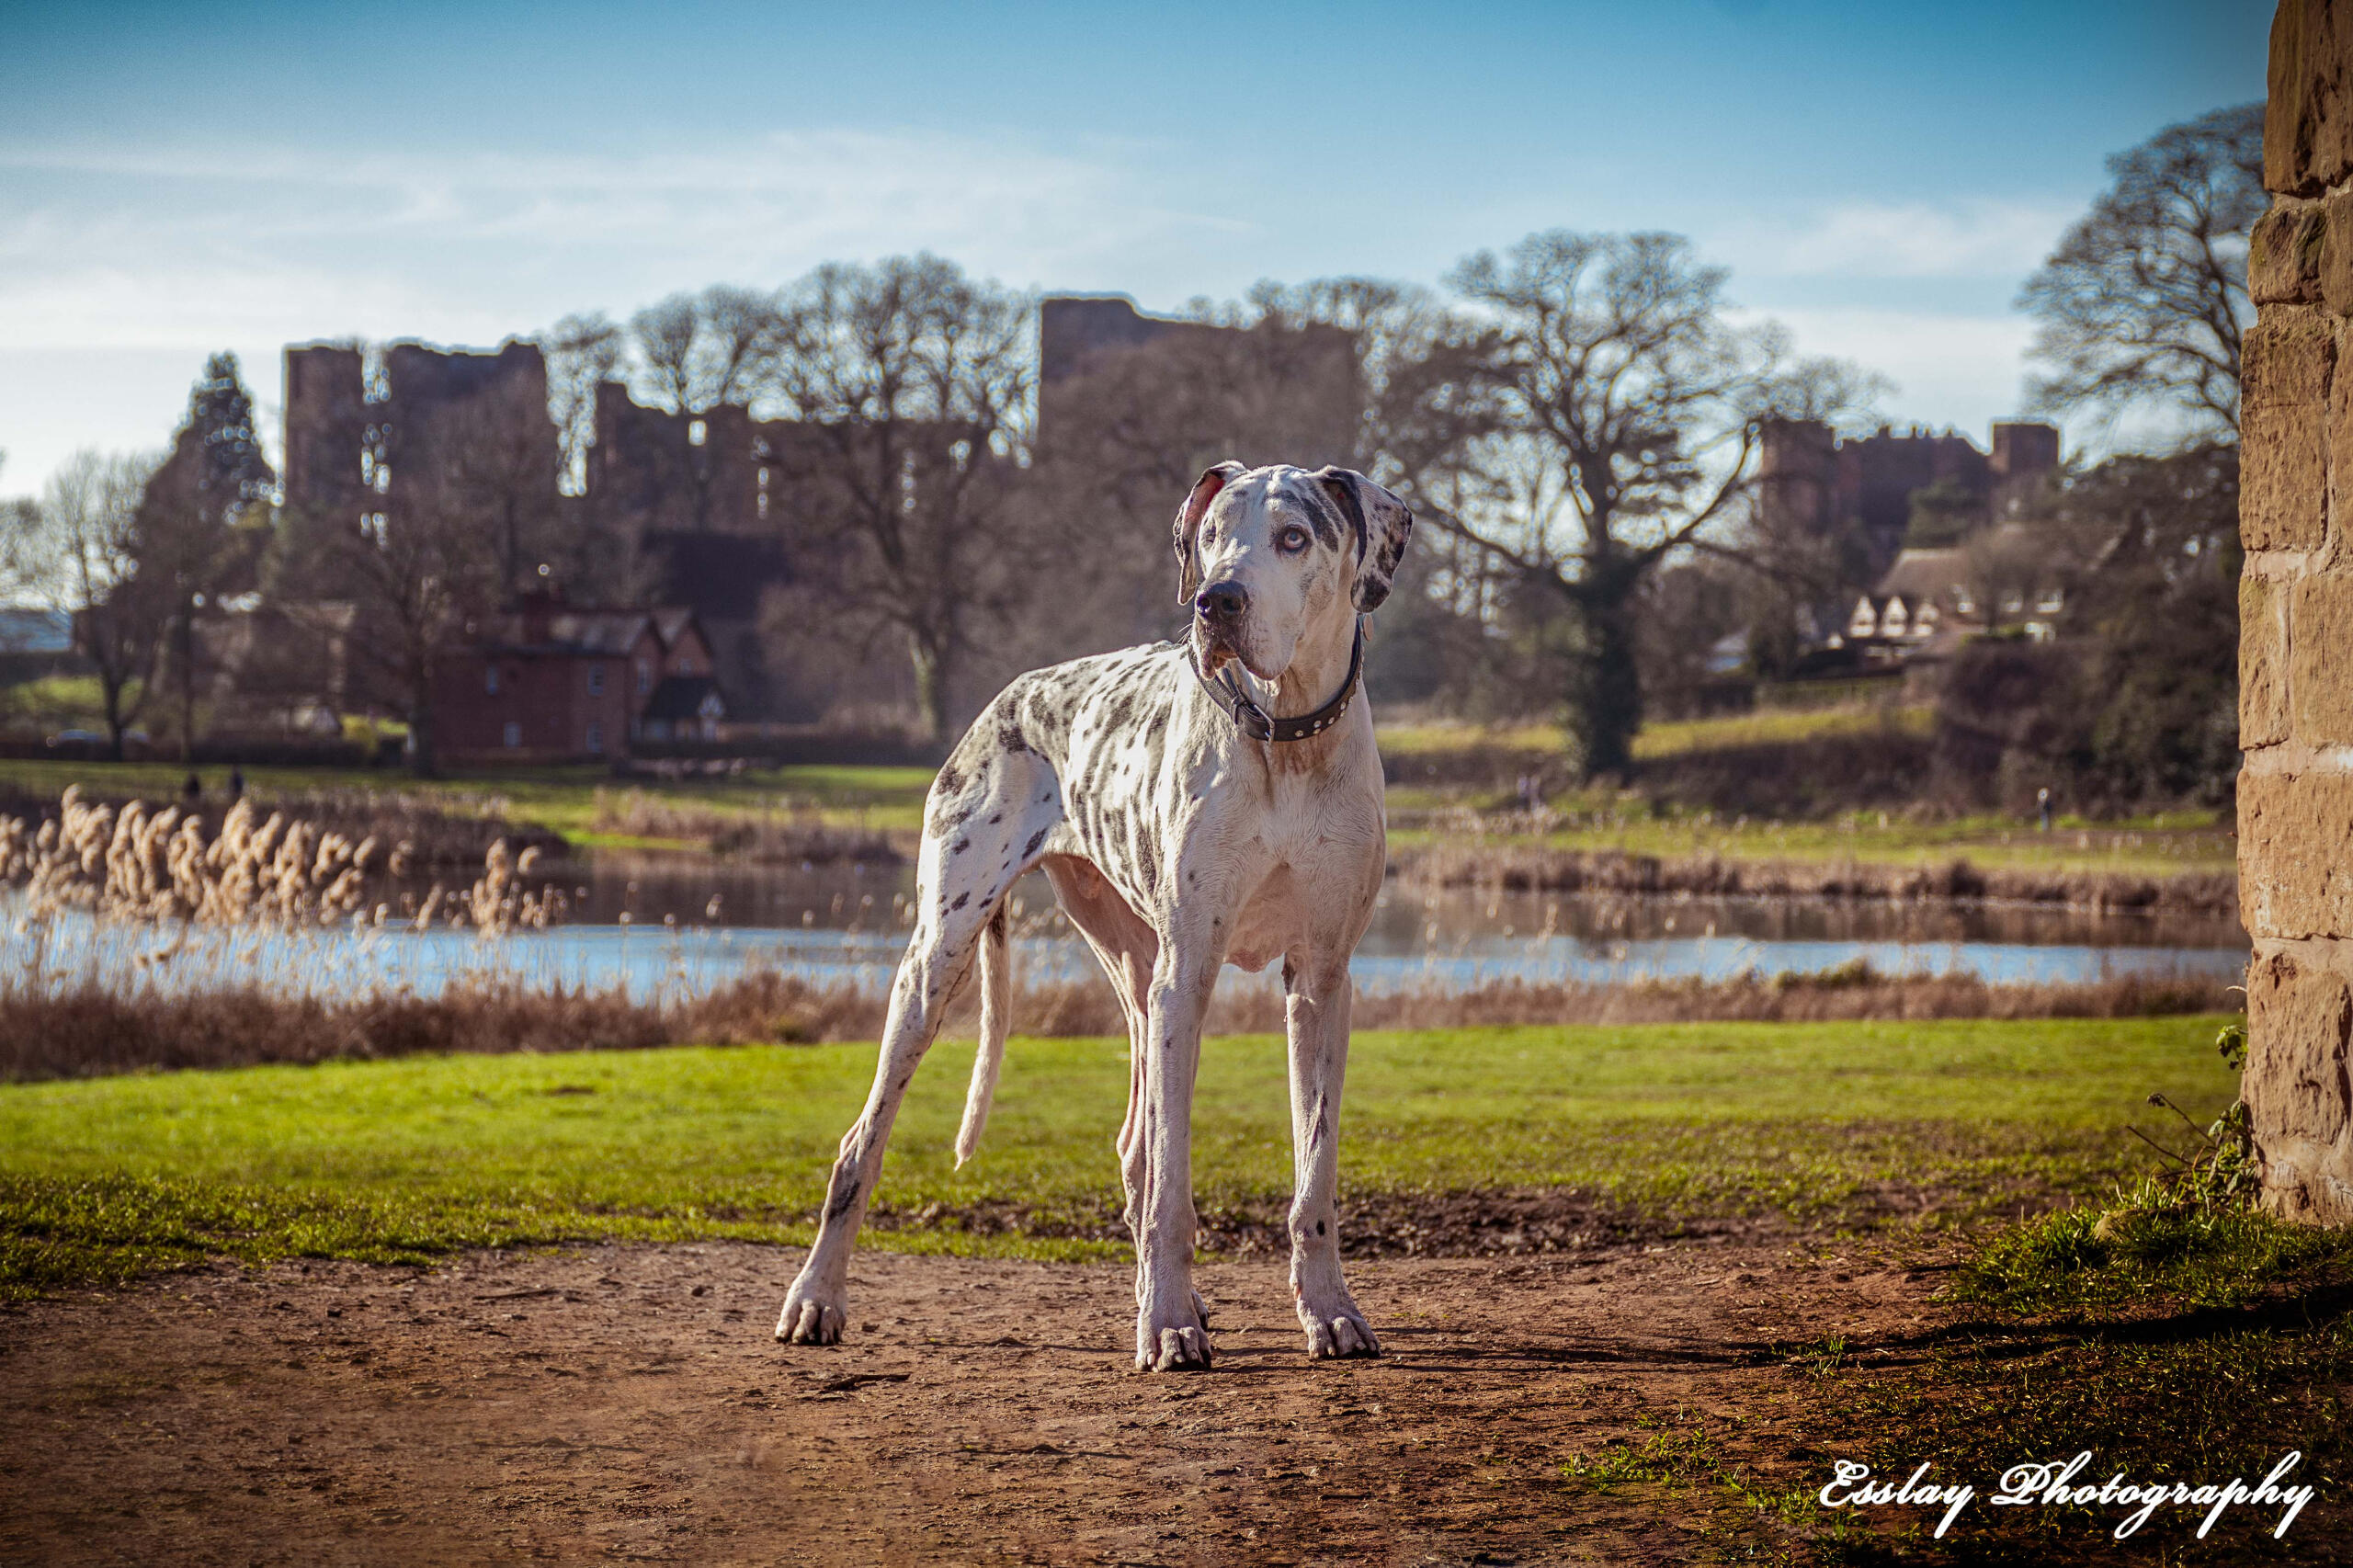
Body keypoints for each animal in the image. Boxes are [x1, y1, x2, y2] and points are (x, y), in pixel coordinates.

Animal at [776, 459, 1412, 1365]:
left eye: (1294, 537)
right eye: (1212, 533)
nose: (1216, 601)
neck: (1286, 740)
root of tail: (1012, 692)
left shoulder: (1322, 982)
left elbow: (1312, 1175)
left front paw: (1327, 1309)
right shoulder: (1191, 976)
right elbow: (1176, 1183)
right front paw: (1169, 1325)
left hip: (1138, 977)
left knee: (1136, 1147)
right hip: (940, 963)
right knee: (861, 1144)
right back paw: (815, 1297)